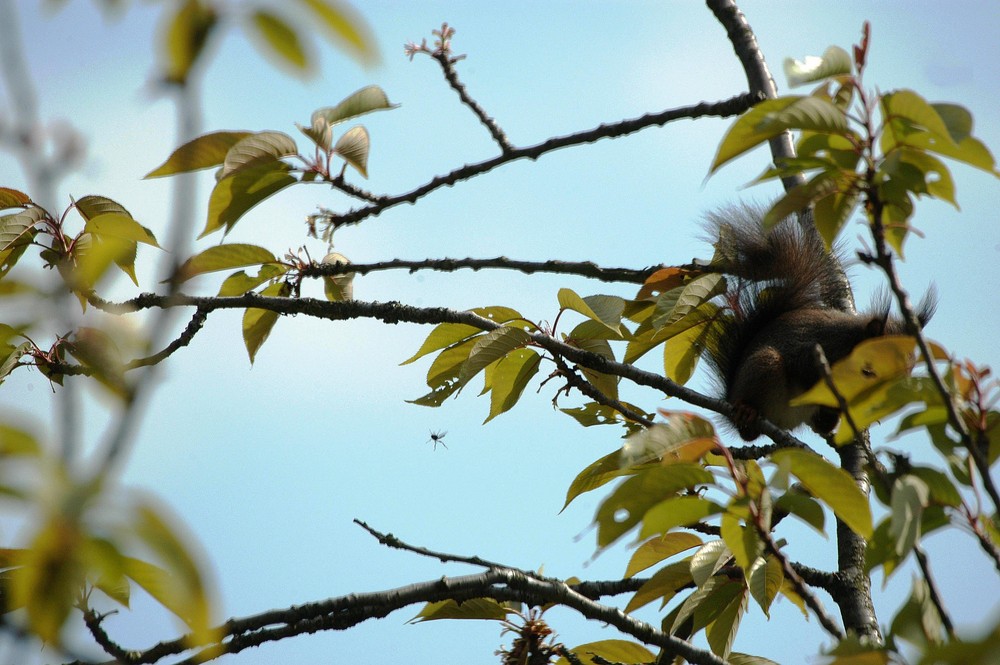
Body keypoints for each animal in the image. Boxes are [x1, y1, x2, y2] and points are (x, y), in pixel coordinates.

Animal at [700, 202, 932, 440]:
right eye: (869, 370)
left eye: (908, 371)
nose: (887, 399)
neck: (850, 342)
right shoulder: (816, 352)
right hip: (764, 365)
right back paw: (747, 410)